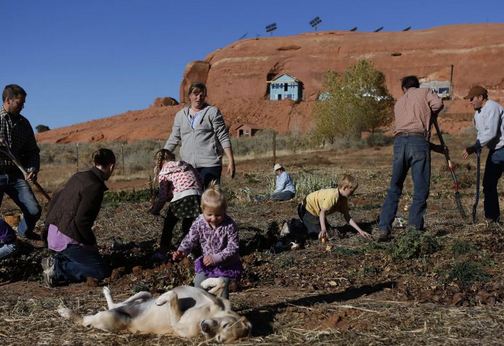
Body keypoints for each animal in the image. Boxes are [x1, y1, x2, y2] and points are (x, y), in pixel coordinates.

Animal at [58, 278, 251, 344]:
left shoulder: (179, 323)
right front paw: (206, 282)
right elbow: (221, 281)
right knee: (122, 302)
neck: (212, 312)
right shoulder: (217, 300)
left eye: (218, 339)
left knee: (86, 320)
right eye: (225, 325)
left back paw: (66, 312)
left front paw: (163, 298)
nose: (204, 328)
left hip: (107, 318)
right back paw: (107, 292)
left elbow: (173, 295)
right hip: (143, 294)